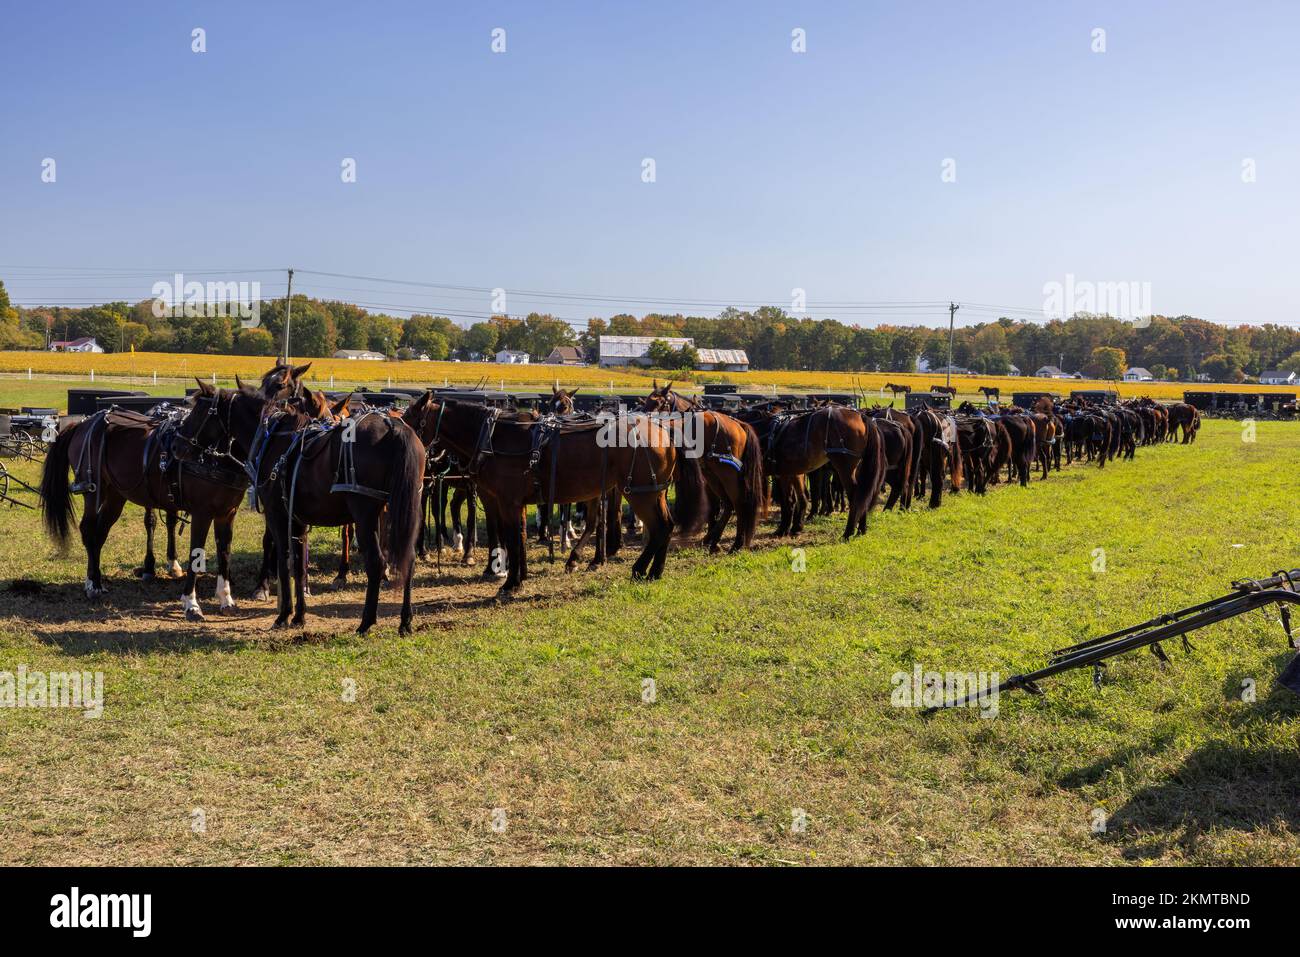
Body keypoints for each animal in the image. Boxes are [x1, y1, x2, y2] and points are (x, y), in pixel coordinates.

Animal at [40, 382, 252, 621]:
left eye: (200, 413)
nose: (177, 447)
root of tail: (81, 424)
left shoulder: (227, 513)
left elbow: (224, 553)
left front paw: (226, 600)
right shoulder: (202, 513)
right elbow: (196, 554)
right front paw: (191, 604)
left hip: (115, 495)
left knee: (100, 533)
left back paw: (97, 580)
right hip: (94, 491)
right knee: (89, 530)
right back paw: (92, 584)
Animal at [644, 382, 764, 553]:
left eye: (660, 402)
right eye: (647, 400)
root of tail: (739, 425)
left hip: (728, 475)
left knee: (738, 503)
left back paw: (736, 544)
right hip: (714, 476)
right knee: (728, 505)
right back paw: (713, 541)